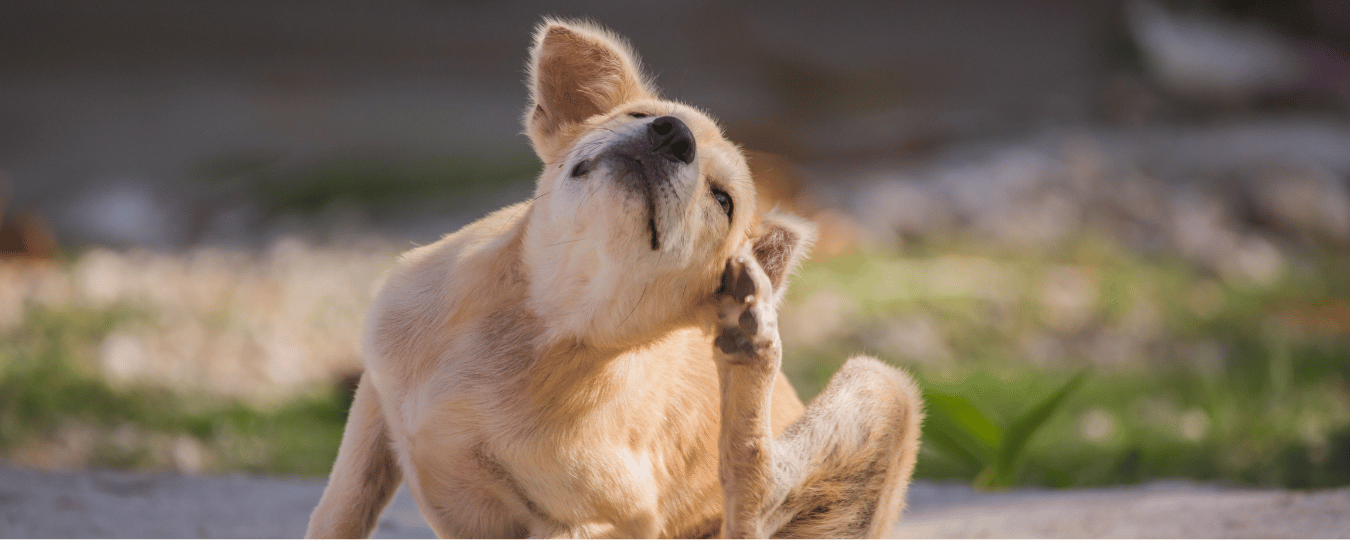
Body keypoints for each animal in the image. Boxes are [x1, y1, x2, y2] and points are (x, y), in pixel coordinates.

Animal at [306, 18, 923, 537]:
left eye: (722, 201)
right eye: (639, 117)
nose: (673, 135)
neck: (542, 317)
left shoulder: (600, 522)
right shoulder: (374, 403)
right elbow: (340, 510)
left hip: (883, 387)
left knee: (751, 495)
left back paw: (750, 342)